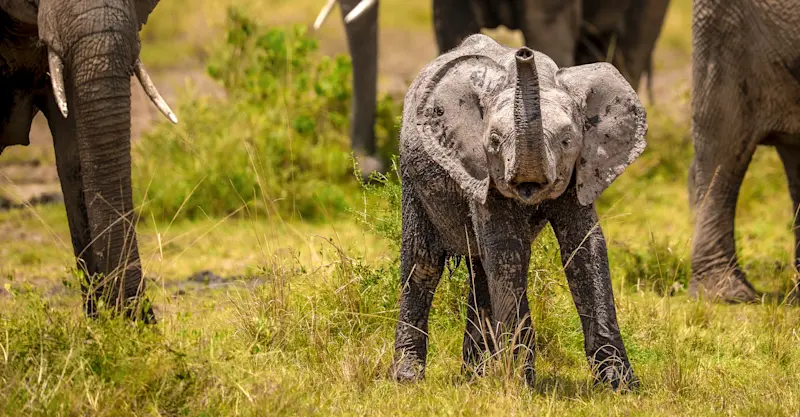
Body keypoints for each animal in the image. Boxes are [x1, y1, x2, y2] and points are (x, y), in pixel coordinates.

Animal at [394, 34, 646, 389]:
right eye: (494, 140)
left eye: (567, 140)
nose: (523, 54)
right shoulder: (480, 165)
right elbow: (507, 250)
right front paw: (521, 383)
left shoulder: (580, 171)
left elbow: (586, 248)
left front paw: (620, 385)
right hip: (413, 177)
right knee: (423, 264)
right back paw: (409, 378)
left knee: (480, 271)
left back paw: (475, 377)